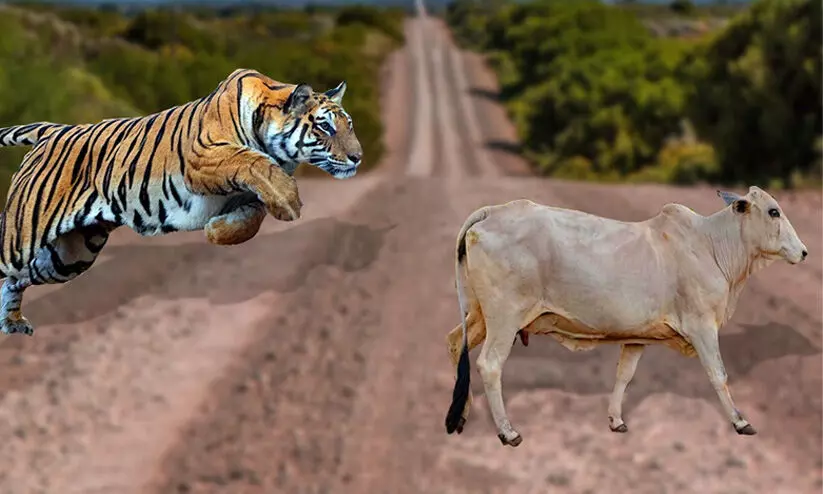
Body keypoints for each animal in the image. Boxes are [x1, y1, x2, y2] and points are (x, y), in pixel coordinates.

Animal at [0, 67, 364, 336]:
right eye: (325, 127)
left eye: (349, 125)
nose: (358, 158)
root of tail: (54, 130)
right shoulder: (204, 155)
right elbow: (251, 160)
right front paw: (289, 201)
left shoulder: (248, 196)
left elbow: (250, 220)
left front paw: (218, 230)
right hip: (21, 241)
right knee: (7, 270)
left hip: (69, 256)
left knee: (14, 281)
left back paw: (12, 324)